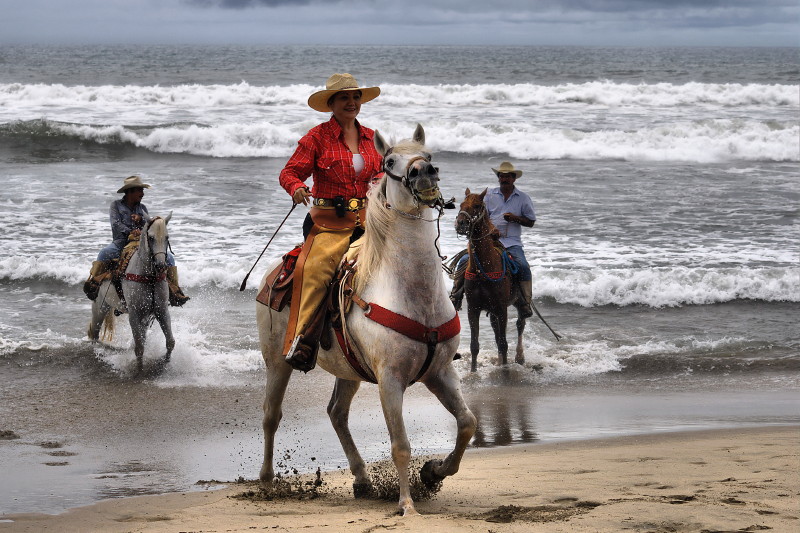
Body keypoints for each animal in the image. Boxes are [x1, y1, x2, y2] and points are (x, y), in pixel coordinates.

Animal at [88, 213, 175, 374]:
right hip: (99, 308)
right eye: (151, 237)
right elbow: (139, 347)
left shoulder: (161, 311)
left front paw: (164, 364)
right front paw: (139, 370)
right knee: (94, 334)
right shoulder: (134, 314)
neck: (148, 277)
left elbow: (170, 342)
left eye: (167, 237)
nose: (161, 266)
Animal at [258, 124, 476, 516]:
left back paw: (361, 479)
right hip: (276, 362)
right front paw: (407, 505)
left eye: (430, 156)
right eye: (389, 162)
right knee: (271, 414)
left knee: (336, 413)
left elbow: (467, 423)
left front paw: (433, 472)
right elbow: (400, 444)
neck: (412, 293)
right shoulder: (390, 380)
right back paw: (266, 482)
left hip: (348, 371)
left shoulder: (440, 372)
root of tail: (275, 270)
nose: (424, 173)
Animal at [454, 189, 528, 372]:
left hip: (518, 302)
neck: (483, 269)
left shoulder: (502, 309)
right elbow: (474, 345)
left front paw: (505, 369)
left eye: (477, 206)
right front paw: (473, 372)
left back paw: (519, 357)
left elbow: (503, 343)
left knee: (520, 323)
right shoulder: (473, 309)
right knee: (496, 331)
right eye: (461, 204)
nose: (461, 223)